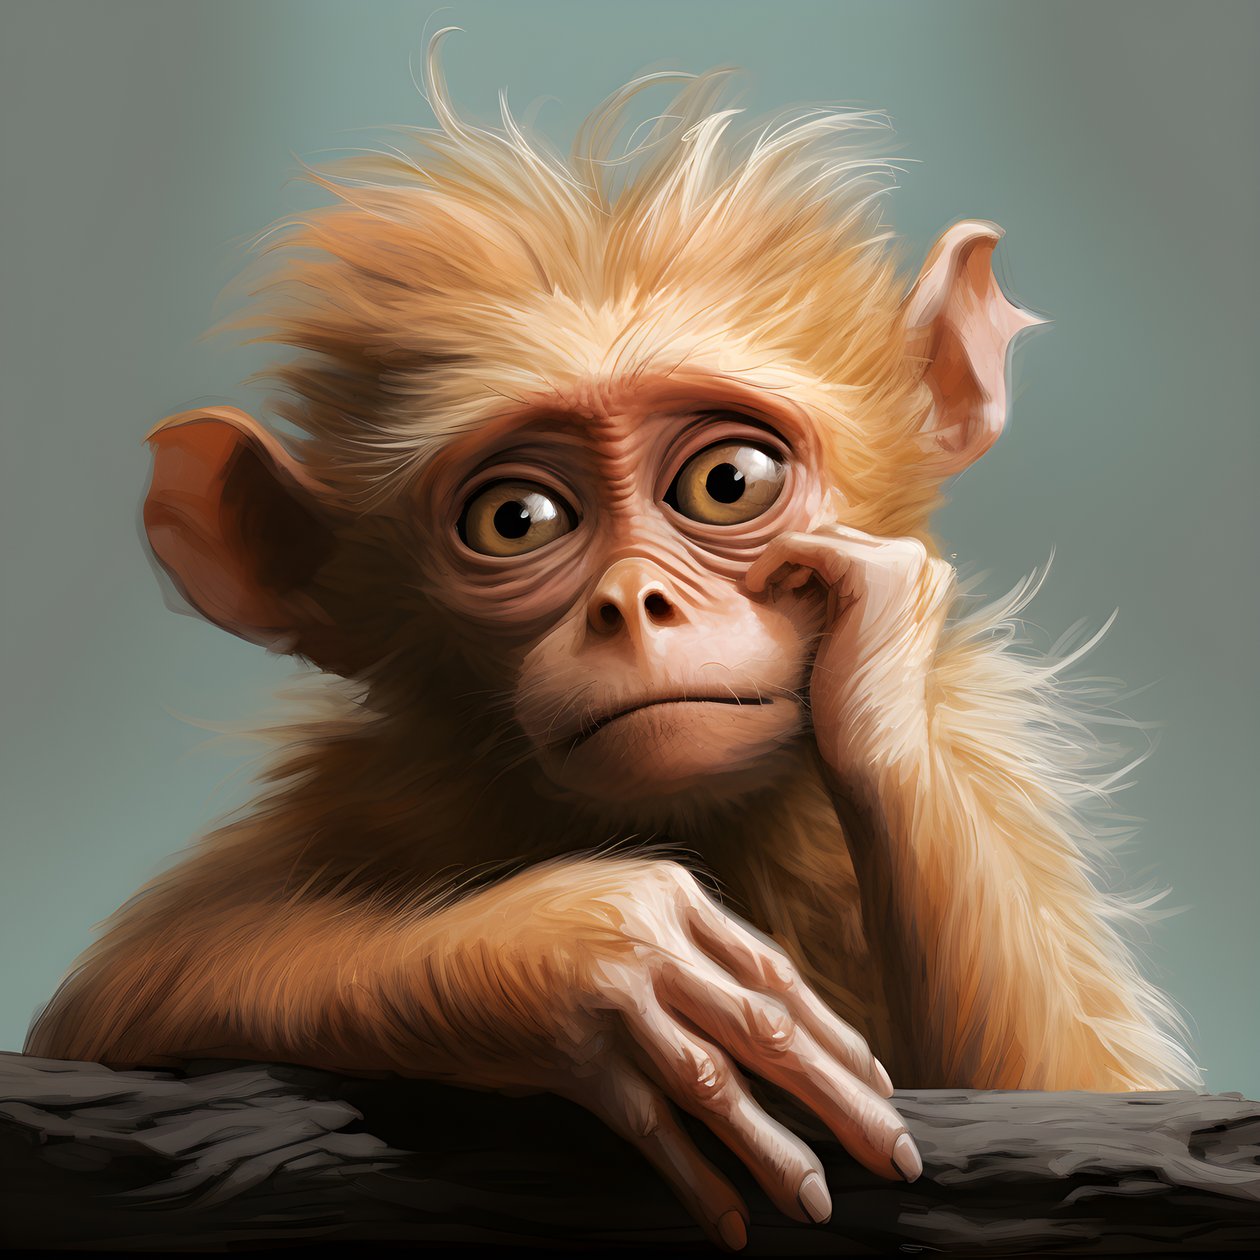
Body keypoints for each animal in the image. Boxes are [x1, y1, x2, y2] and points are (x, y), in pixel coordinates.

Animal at [26, 38, 1200, 1250]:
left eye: (729, 483)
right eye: (517, 519)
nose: (635, 604)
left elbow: (1068, 1093)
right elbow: (102, 1004)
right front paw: (571, 949)